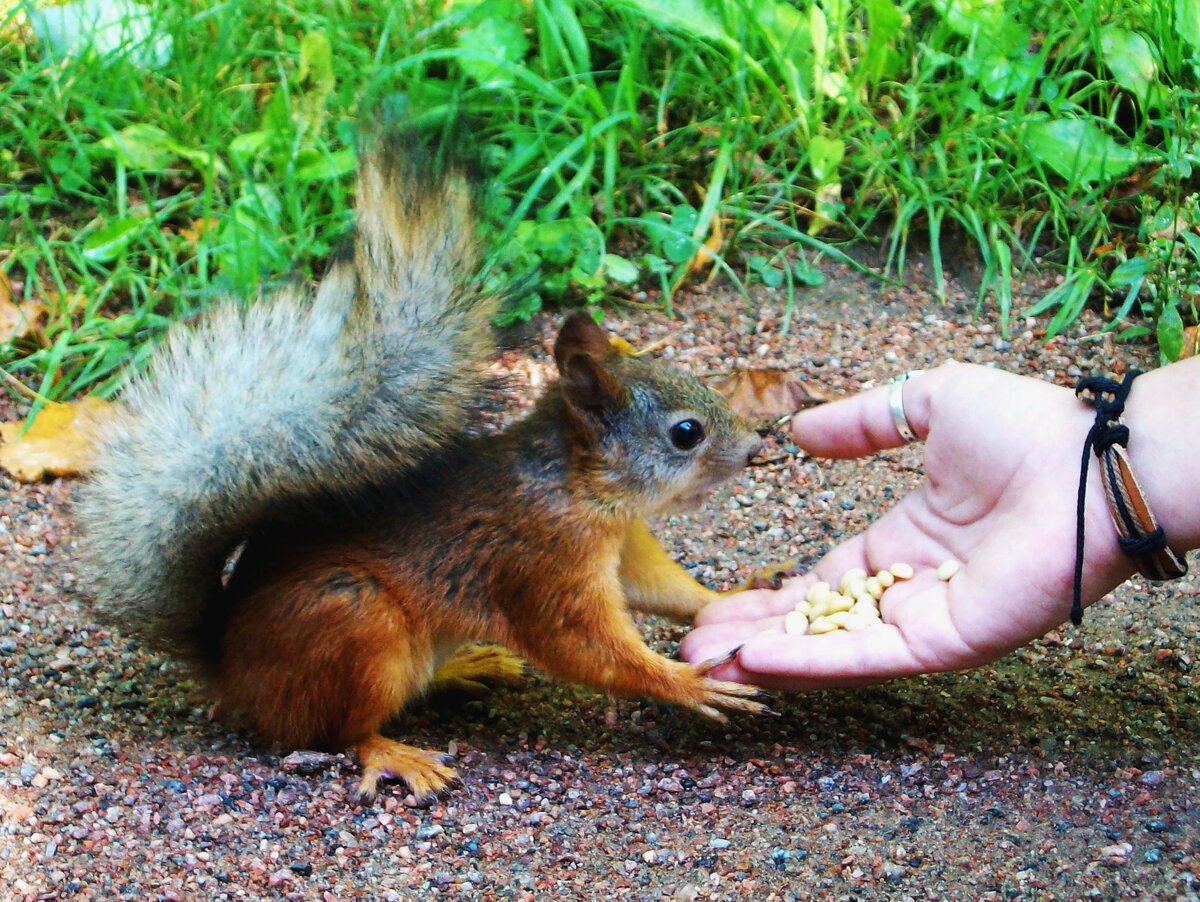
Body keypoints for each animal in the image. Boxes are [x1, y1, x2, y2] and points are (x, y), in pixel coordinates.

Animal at [77, 123, 768, 801]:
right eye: (686, 433)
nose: (756, 448)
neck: (582, 489)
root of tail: (228, 666)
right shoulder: (540, 560)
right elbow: (584, 647)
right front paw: (688, 683)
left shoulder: (624, 546)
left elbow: (662, 588)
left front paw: (740, 592)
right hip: (356, 622)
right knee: (333, 733)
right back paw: (395, 753)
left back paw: (468, 665)